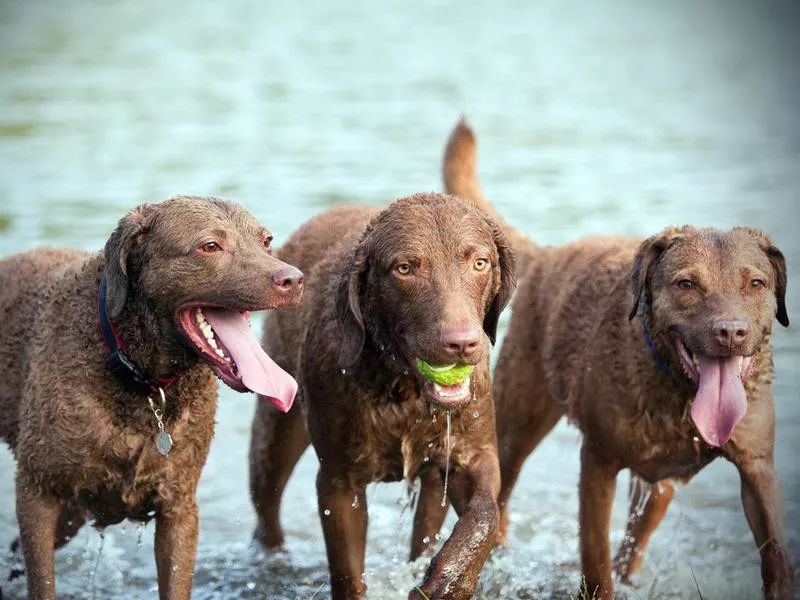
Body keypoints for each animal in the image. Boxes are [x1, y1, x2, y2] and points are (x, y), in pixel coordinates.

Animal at [0, 197, 304, 600]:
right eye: (210, 246)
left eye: (266, 240)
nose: (294, 279)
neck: (139, 379)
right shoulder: (37, 491)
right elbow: (42, 581)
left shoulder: (179, 509)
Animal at [247, 193, 516, 600]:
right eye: (405, 268)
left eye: (480, 262)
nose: (462, 343)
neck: (404, 391)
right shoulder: (339, 481)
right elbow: (347, 573)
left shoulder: (473, 452)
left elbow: (485, 513)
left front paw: (449, 580)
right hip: (276, 431)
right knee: (266, 509)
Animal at [444, 120, 792, 600]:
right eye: (686, 284)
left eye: (756, 283)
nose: (730, 332)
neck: (677, 392)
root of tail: (550, 253)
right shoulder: (598, 461)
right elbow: (595, 561)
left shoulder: (758, 466)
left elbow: (776, 550)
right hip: (517, 421)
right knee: (503, 491)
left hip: (658, 486)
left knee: (637, 534)